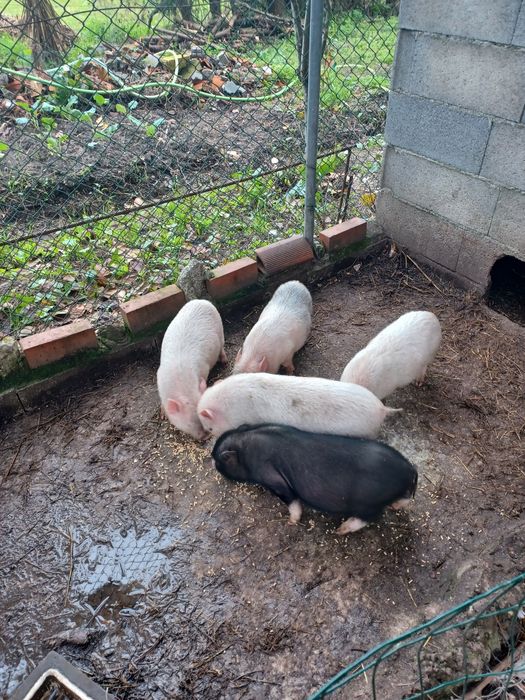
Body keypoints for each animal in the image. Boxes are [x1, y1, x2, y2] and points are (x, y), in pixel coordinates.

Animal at [157, 299, 226, 440]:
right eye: (189, 422)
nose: (205, 437)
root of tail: (202, 301)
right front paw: (162, 415)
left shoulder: (204, 369)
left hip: (220, 328)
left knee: (222, 345)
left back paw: (224, 361)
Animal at [212, 424, 418, 534]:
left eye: (219, 461)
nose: (213, 462)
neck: (246, 449)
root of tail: (409, 469)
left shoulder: (272, 476)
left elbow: (291, 499)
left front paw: (291, 522)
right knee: (404, 499)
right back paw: (395, 506)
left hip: (367, 503)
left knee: (370, 517)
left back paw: (341, 529)